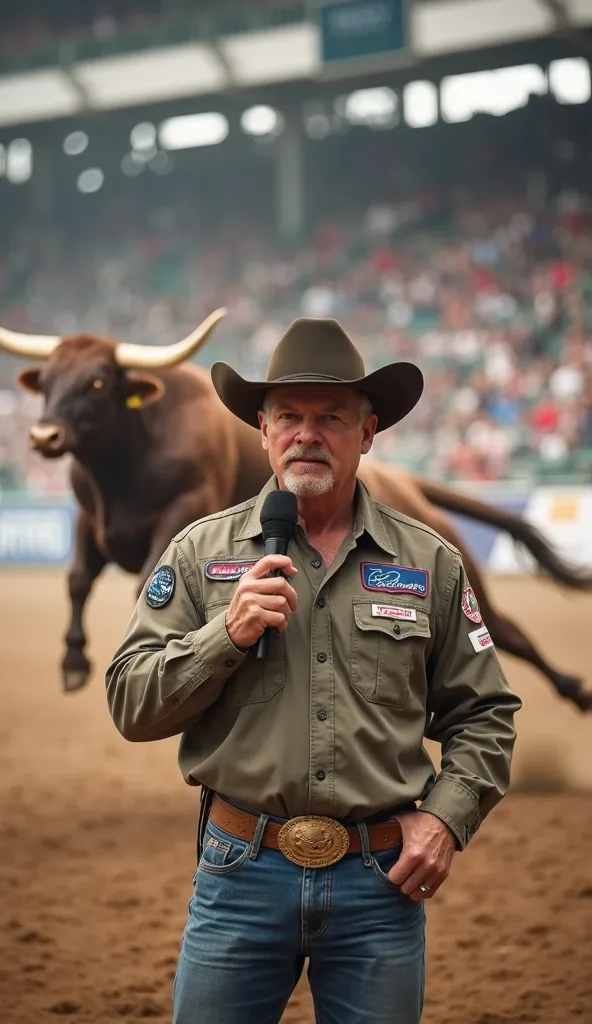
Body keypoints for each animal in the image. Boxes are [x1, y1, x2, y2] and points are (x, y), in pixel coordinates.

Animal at [0, 313, 585, 712]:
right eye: (46, 381)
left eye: (98, 381)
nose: (43, 436)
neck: (124, 468)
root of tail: (402, 480)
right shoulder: (89, 518)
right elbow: (77, 580)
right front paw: (73, 662)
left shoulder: (184, 505)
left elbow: (143, 578)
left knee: (507, 631)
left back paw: (576, 690)